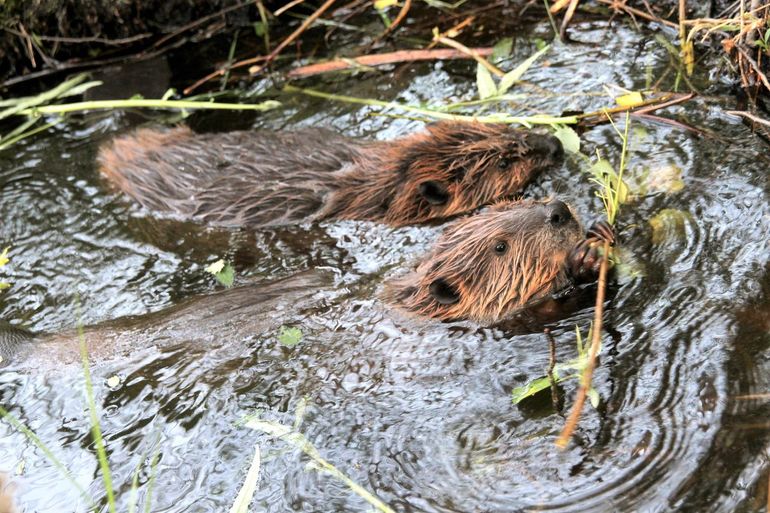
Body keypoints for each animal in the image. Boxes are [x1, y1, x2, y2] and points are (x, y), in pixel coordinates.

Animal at [1, 198, 612, 366]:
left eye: (513, 202)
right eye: (501, 245)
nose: (559, 210)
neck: (403, 295)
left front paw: (600, 230)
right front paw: (586, 256)